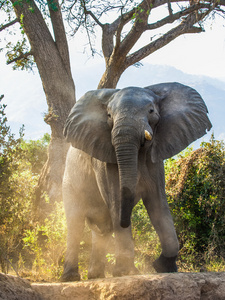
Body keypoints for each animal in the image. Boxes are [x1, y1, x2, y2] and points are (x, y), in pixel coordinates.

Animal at [61, 82, 211, 282]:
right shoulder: (104, 162)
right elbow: (117, 201)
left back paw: (95, 276)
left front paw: (163, 267)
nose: (126, 221)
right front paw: (126, 273)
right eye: (109, 116)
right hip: (69, 180)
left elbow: (158, 204)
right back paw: (71, 278)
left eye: (151, 111)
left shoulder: (155, 161)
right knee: (75, 223)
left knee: (102, 229)